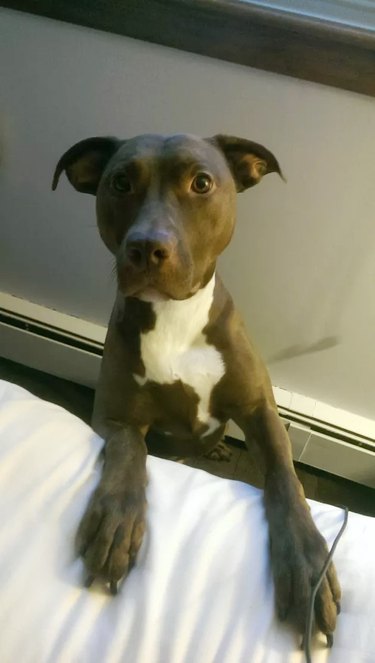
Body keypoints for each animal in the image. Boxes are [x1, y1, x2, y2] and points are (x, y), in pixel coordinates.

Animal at [53, 134, 344, 644]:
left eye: (202, 183)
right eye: (120, 182)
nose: (146, 247)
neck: (174, 316)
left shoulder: (260, 410)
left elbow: (285, 479)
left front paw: (308, 566)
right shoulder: (114, 416)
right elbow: (130, 449)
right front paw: (116, 521)